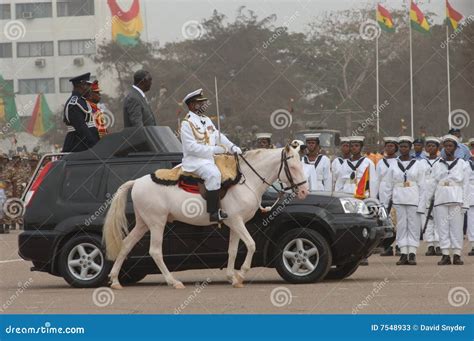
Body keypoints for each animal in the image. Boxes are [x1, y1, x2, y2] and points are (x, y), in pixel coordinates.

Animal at [103, 142, 310, 288]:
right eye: (292, 168)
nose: (304, 192)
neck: (246, 181)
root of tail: (137, 182)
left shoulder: (235, 224)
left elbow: (233, 250)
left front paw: (232, 277)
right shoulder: (237, 221)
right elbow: (251, 245)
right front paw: (241, 274)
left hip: (143, 223)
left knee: (126, 244)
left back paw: (115, 280)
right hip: (156, 223)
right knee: (155, 251)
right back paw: (173, 281)